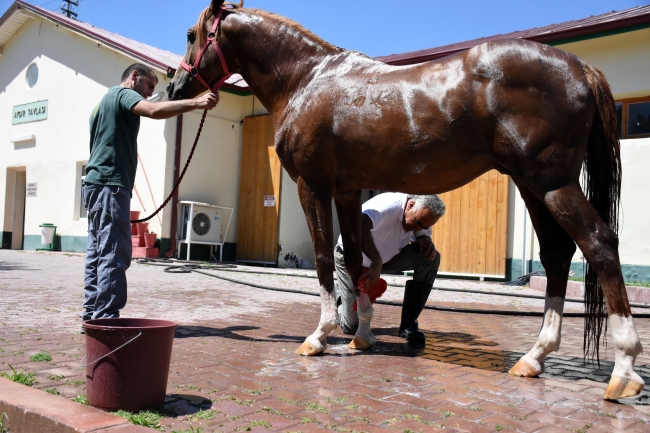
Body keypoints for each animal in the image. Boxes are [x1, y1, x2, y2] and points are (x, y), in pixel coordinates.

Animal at [167, 0, 644, 398]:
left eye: (191, 34)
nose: (176, 89)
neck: (307, 79)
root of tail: (581, 67)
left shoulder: (312, 186)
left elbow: (322, 257)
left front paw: (318, 337)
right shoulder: (347, 192)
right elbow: (356, 260)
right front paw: (361, 337)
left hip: (551, 184)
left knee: (599, 244)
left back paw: (623, 371)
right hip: (533, 186)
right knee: (557, 254)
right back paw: (534, 357)